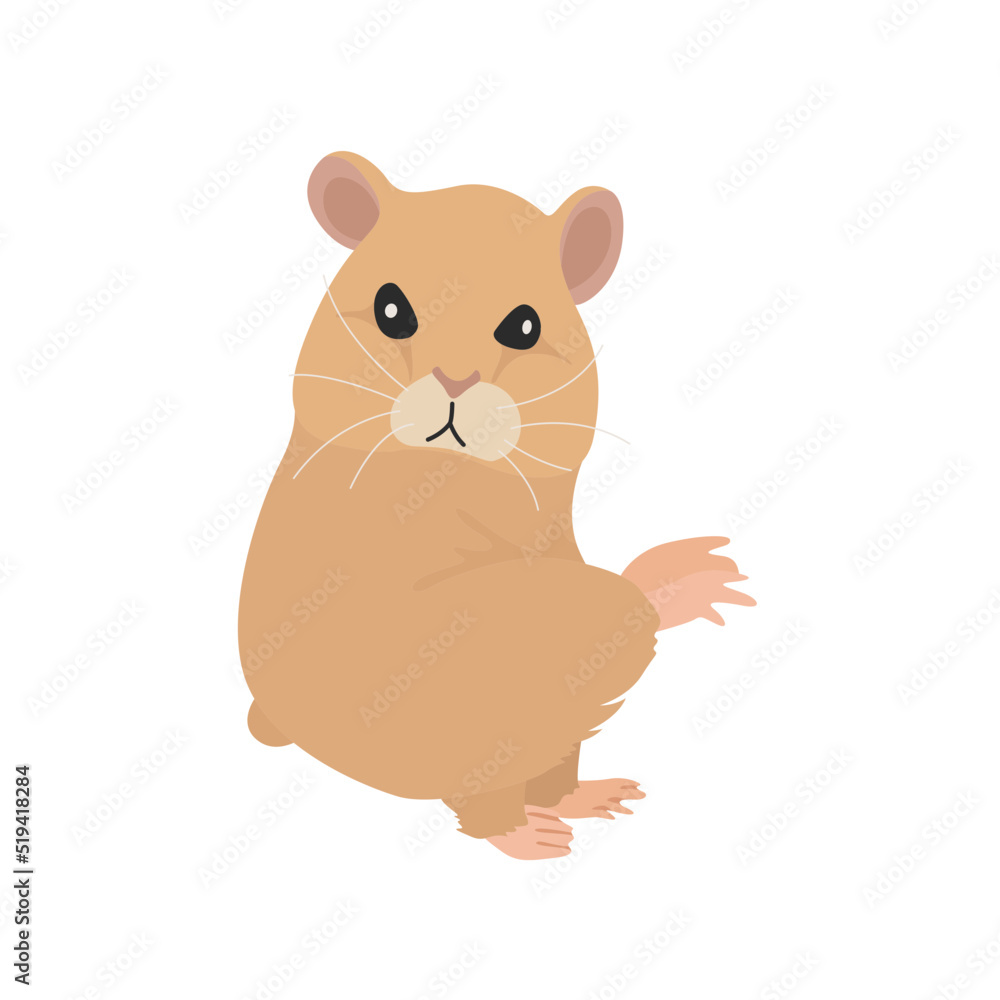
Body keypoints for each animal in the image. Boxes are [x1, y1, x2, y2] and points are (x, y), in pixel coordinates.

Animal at [238, 152, 754, 859]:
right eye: (391, 310)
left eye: (525, 326)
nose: (456, 381)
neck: (456, 472)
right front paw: (683, 580)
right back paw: (528, 834)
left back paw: (586, 799)